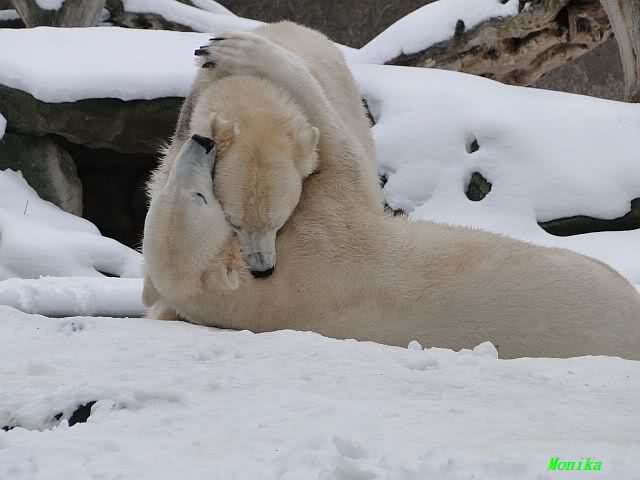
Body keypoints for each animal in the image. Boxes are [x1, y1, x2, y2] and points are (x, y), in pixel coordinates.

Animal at [143, 22, 640, 359]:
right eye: (201, 200)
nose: (200, 144)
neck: (250, 289)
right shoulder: (323, 243)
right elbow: (343, 157)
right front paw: (247, 52)